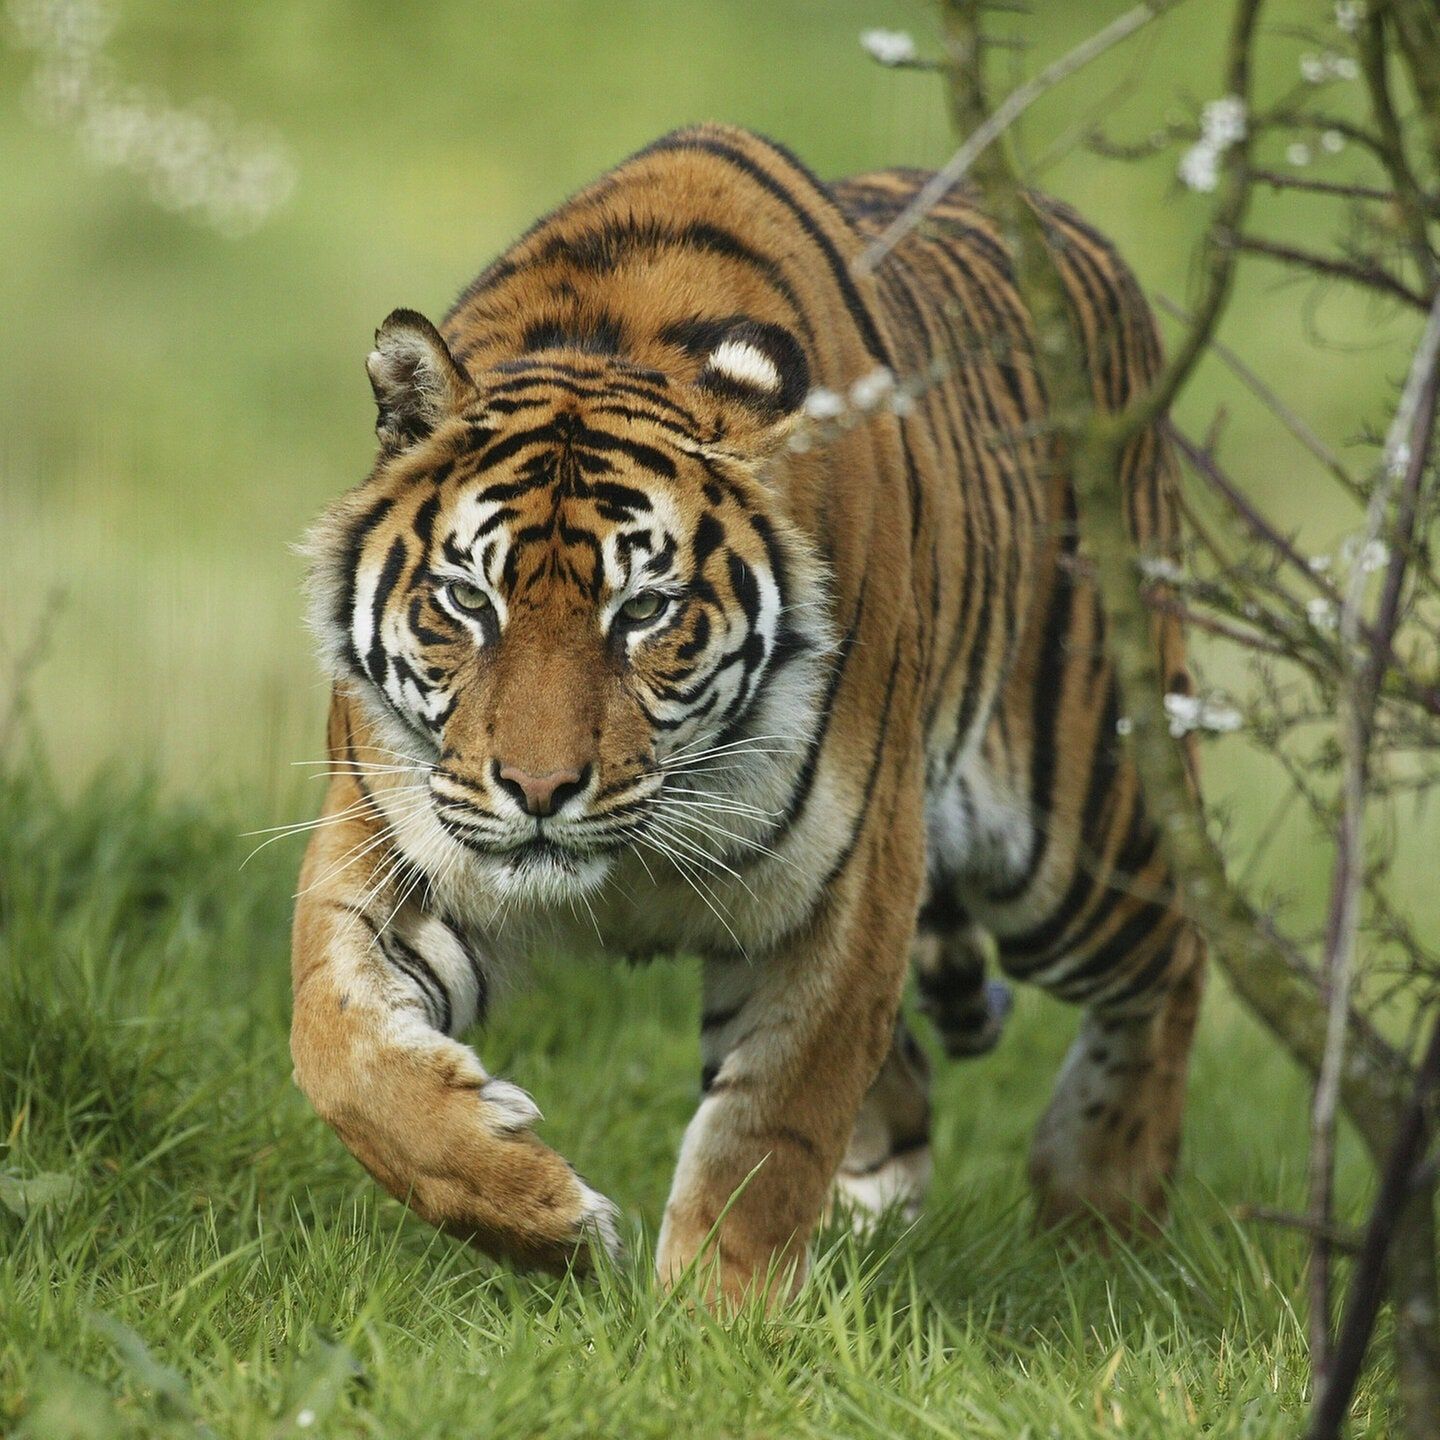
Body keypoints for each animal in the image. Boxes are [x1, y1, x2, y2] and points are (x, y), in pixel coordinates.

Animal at [291, 123, 1206, 1305]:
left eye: (644, 610)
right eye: (467, 600)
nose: (540, 791)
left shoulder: (850, 882)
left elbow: (772, 1132)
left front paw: (719, 1319)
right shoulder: (393, 843)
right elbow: (341, 1052)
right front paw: (548, 1219)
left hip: (1075, 835)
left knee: (1183, 945)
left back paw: (1102, 1208)